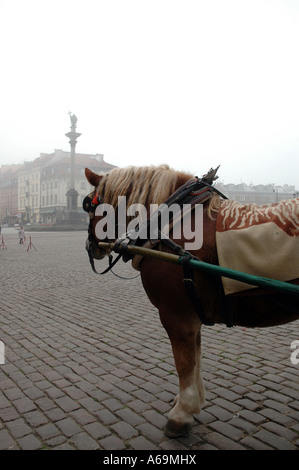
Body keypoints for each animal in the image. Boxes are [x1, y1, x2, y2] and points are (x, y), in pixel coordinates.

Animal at [84, 164, 299, 436]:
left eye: (88, 206)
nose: (90, 246)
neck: (173, 222)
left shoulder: (176, 314)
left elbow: (184, 361)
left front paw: (182, 413)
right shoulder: (192, 313)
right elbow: (196, 357)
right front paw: (195, 400)